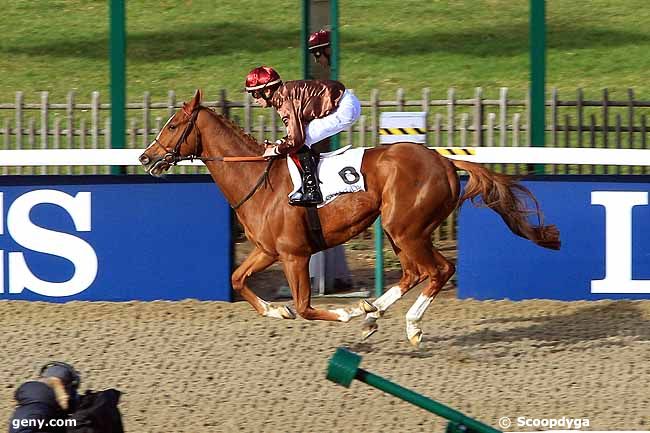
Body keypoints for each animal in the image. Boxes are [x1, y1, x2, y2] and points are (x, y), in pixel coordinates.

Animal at [139, 89, 560, 346]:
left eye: (173, 125)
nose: (145, 157)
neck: (258, 179)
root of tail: (444, 161)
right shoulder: (267, 250)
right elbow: (238, 279)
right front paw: (276, 310)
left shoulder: (294, 255)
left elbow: (305, 307)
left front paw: (346, 310)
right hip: (399, 229)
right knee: (413, 274)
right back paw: (373, 315)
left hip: (406, 229)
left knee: (439, 270)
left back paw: (404, 324)